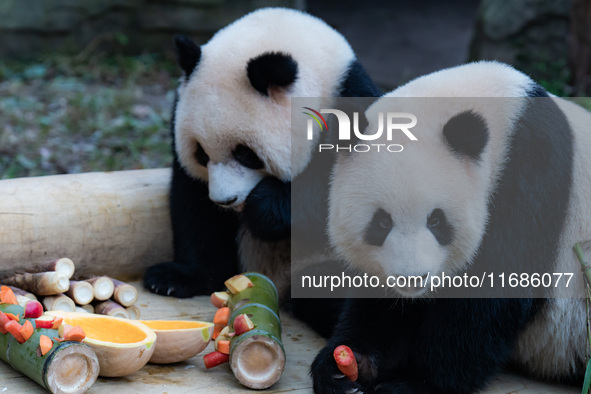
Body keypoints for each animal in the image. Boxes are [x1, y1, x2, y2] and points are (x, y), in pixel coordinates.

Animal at [145, 6, 382, 336]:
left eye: (245, 154)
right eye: (201, 153)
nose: (225, 201)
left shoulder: (354, 104)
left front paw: (264, 208)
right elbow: (194, 204)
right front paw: (176, 278)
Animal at [312, 60, 588, 390]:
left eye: (436, 220)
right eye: (381, 222)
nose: (413, 279)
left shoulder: (529, 177)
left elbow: (493, 292)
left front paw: (415, 383)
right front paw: (347, 366)